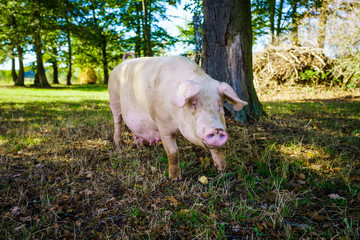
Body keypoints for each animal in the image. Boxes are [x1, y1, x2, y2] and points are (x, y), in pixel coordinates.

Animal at [107, 52, 248, 180]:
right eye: (194, 104)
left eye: (219, 104)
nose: (217, 129)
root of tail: (123, 62)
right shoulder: (162, 124)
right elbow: (173, 152)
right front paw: (175, 179)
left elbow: (216, 150)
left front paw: (222, 169)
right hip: (113, 100)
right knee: (117, 122)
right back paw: (119, 145)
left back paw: (140, 147)